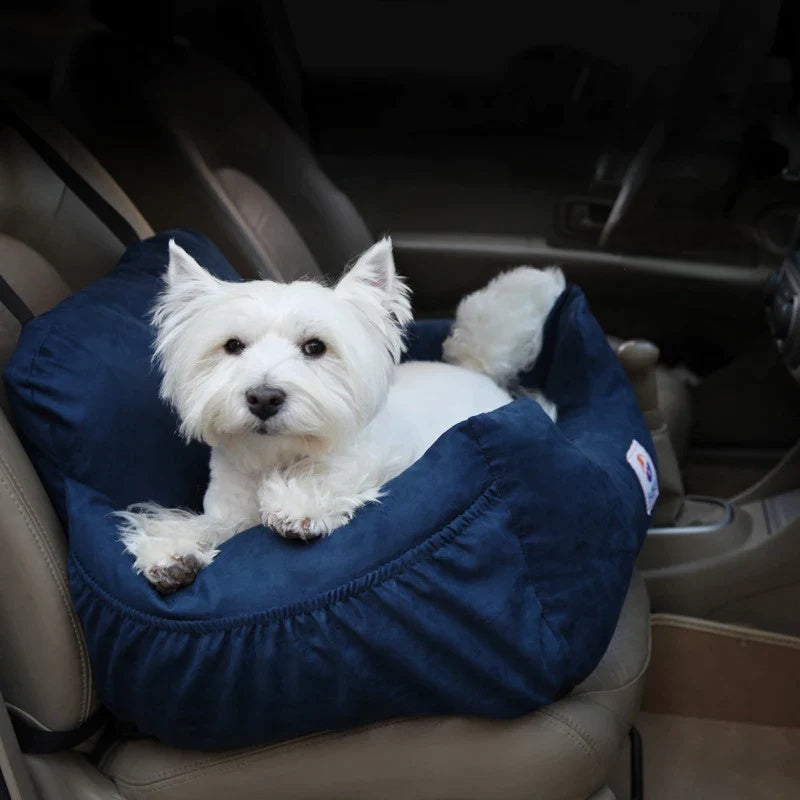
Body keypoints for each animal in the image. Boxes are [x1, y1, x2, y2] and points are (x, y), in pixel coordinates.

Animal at [119, 239, 564, 592]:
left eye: (315, 347)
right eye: (232, 346)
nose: (263, 397)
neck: (276, 457)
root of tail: (476, 370)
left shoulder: (385, 461)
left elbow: (342, 477)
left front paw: (299, 504)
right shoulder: (229, 513)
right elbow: (210, 526)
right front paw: (171, 549)